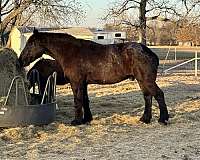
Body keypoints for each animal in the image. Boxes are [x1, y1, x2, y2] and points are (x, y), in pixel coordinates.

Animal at [18, 29, 169, 125]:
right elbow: (85, 100)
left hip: (146, 80)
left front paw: (77, 121)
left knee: (158, 95)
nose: (20, 60)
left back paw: (163, 119)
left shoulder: (76, 82)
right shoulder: (83, 83)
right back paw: (145, 119)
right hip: (141, 80)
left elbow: (78, 100)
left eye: (31, 44)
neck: (70, 52)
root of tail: (148, 52)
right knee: (148, 97)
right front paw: (87, 119)